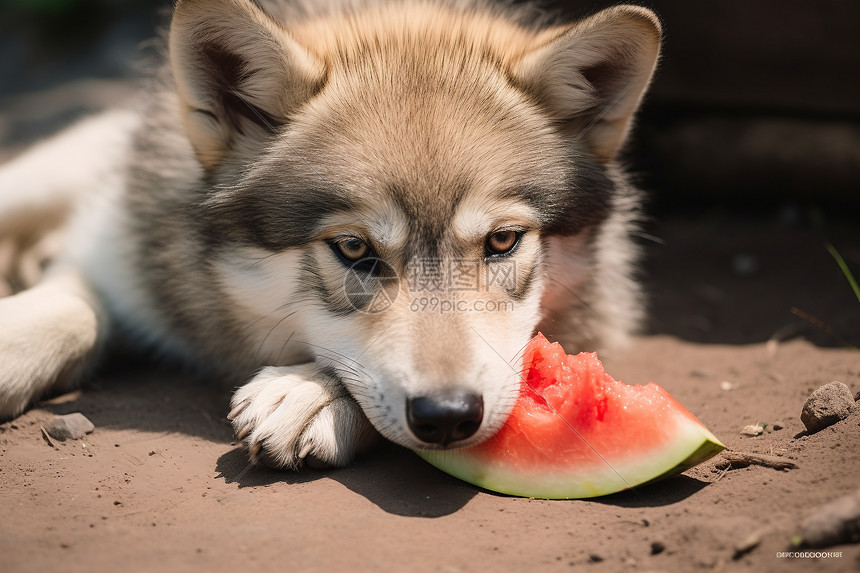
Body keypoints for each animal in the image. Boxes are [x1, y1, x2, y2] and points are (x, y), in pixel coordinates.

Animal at [0, 0, 660, 466]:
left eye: (502, 241)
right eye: (353, 248)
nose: (448, 415)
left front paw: (312, 393)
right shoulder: (111, 250)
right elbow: (73, 307)